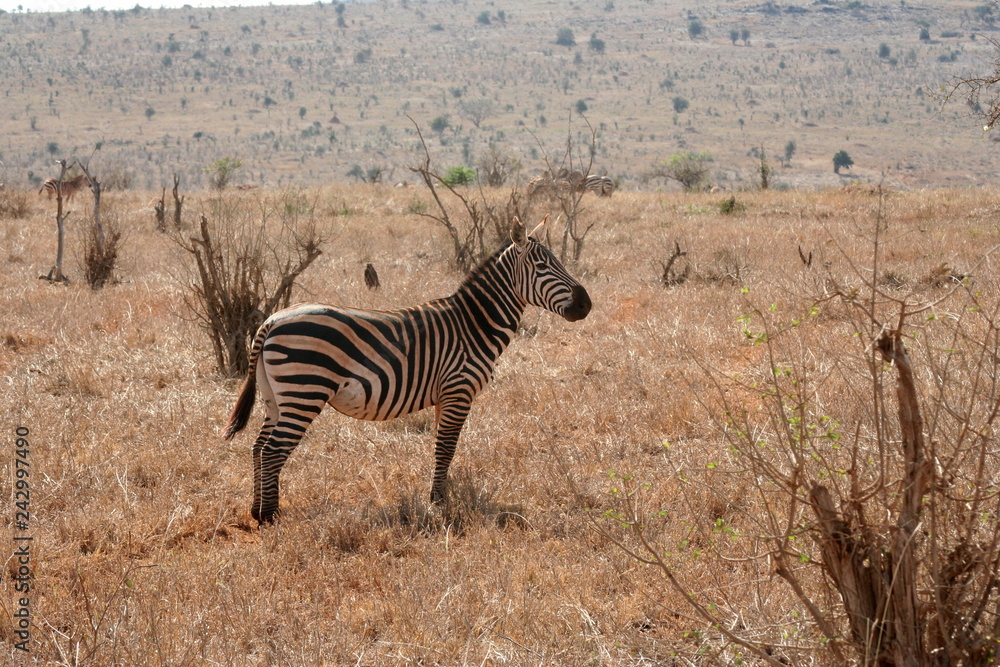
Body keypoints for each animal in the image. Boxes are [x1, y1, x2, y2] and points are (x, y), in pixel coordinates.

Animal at [222, 217, 592, 524]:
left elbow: (442, 447)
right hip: (304, 390)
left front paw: (441, 496)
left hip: (275, 395)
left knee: (258, 447)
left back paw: (256, 510)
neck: (473, 324)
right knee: (273, 450)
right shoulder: (459, 389)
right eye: (542, 265)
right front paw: (439, 504)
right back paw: (269, 517)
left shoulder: (445, 395)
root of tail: (271, 321)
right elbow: (446, 447)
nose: (586, 304)